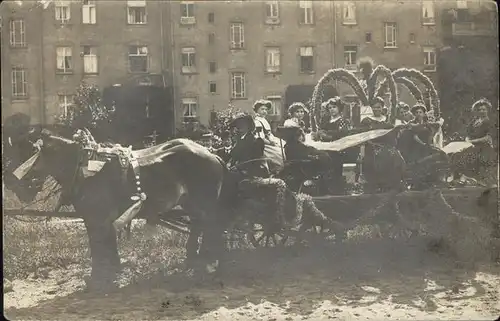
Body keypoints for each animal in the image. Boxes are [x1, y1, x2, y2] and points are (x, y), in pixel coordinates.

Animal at [2, 126, 227, 288]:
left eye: (30, 153)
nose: (11, 184)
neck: (82, 167)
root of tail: (212, 154)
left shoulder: (96, 218)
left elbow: (99, 246)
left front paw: (99, 278)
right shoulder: (96, 219)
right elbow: (105, 245)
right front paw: (111, 272)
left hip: (204, 203)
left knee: (211, 229)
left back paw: (209, 263)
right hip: (192, 204)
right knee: (199, 227)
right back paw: (194, 260)